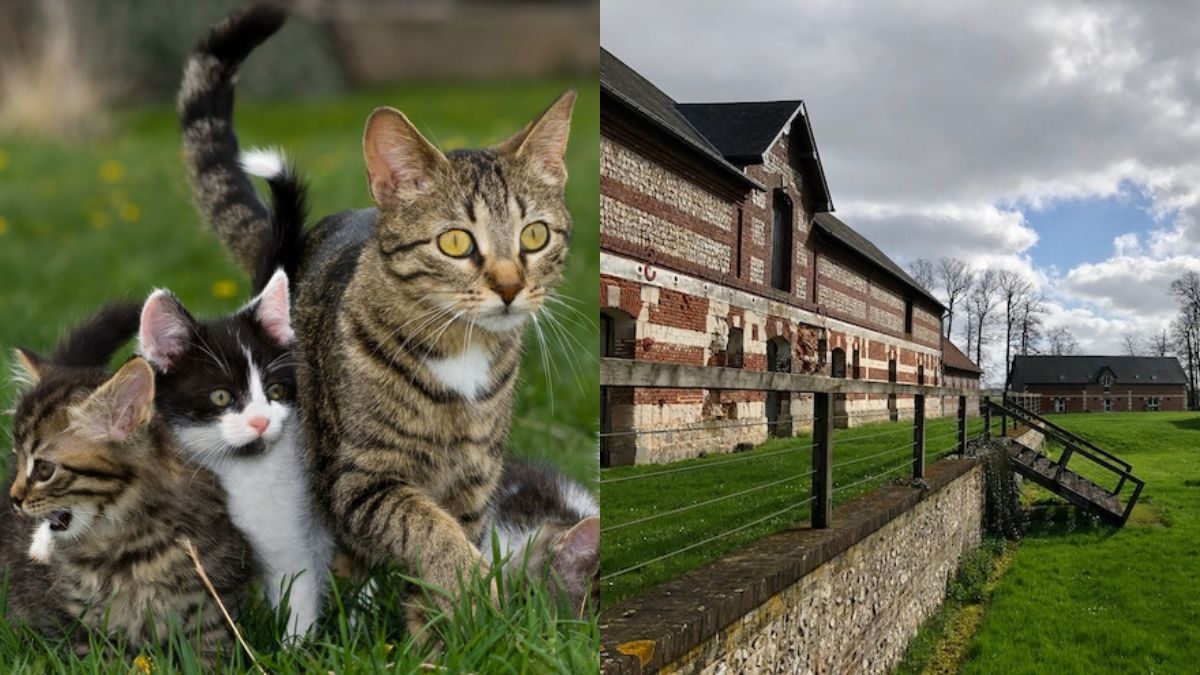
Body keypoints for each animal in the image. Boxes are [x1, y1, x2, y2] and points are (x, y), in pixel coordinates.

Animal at [6, 303, 253, 653]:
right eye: (16, 459)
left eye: (43, 470)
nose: (14, 499)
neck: (128, 543)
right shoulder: (75, 628)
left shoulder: (213, 607)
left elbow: (211, 654)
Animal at [178, 5, 580, 624]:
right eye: (456, 243)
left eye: (535, 235)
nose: (511, 286)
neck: (459, 353)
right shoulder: (359, 480)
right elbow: (428, 531)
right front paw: (472, 596)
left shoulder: (474, 483)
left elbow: (441, 554)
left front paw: (445, 629)